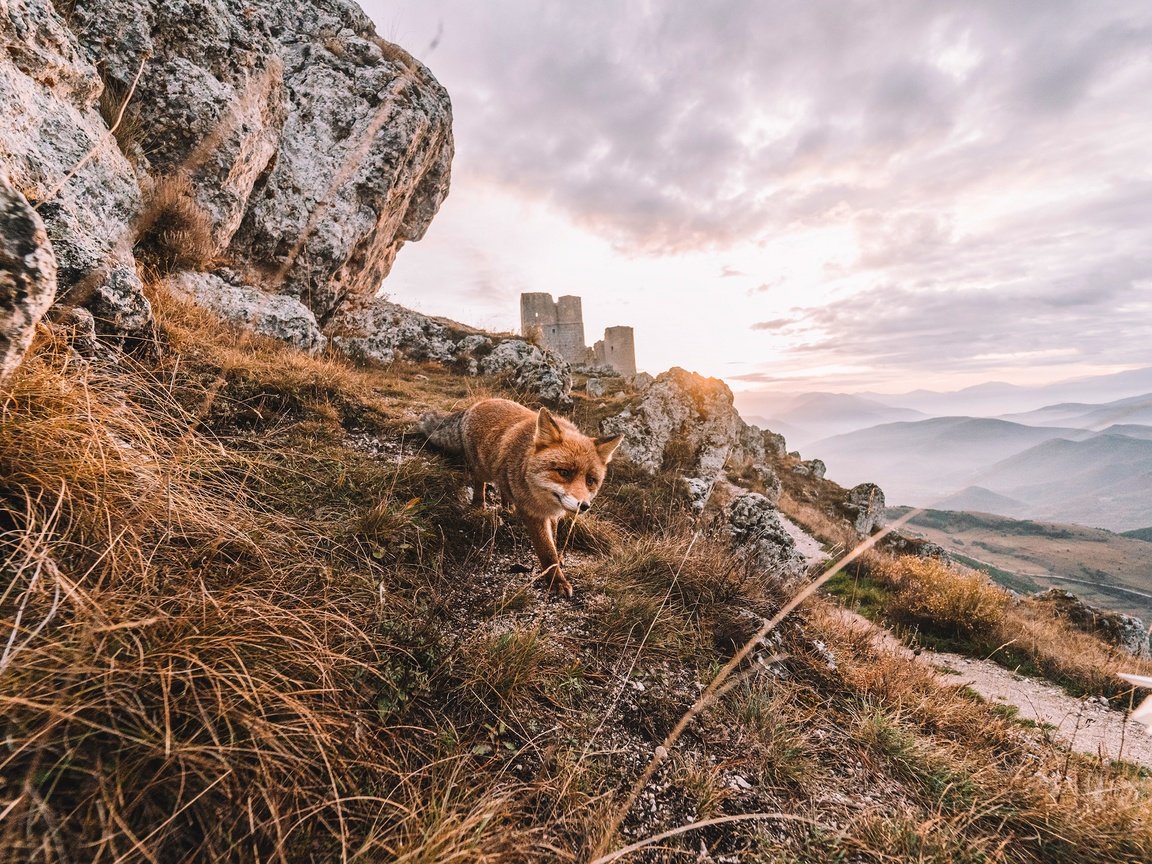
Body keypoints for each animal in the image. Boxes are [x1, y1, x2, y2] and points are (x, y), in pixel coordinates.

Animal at [419, 398, 626, 594]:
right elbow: (546, 551)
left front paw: (558, 559)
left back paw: (507, 506)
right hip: (481, 469)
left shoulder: (552, 514)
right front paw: (556, 580)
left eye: (590, 480)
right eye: (564, 472)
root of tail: (479, 402)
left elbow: (554, 539)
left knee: (503, 487)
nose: (584, 505)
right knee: (480, 483)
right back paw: (479, 505)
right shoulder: (533, 514)